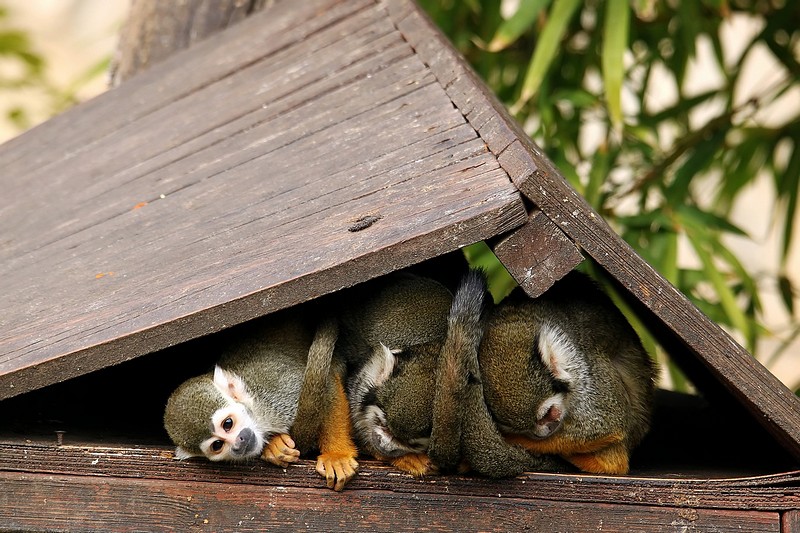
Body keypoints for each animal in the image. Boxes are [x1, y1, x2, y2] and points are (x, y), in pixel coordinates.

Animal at [164, 312, 358, 490]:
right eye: (217, 445)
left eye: (228, 424)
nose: (239, 442)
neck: (258, 414)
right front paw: (274, 447)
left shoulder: (277, 393)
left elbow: (328, 387)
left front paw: (336, 455)